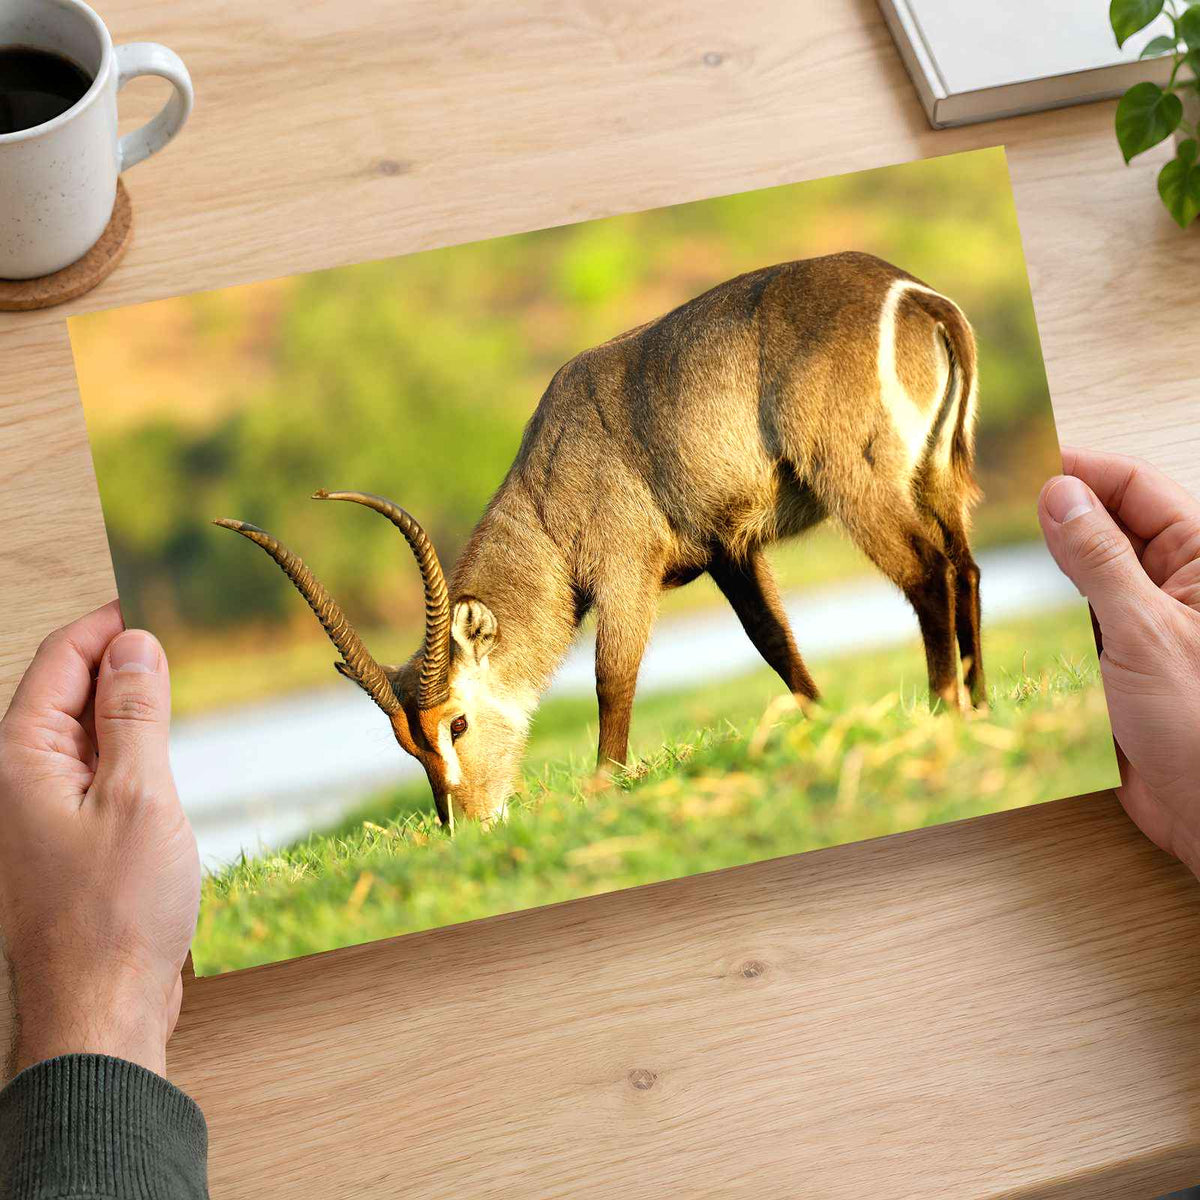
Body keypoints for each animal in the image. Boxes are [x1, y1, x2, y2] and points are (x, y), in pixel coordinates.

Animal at [215, 251, 984, 827]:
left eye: (455, 725)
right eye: (409, 744)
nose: (467, 826)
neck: (547, 489)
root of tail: (910, 294)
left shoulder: (627, 575)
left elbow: (612, 677)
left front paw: (604, 782)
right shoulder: (731, 552)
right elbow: (774, 643)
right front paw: (821, 723)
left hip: (860, 484)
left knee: (923, 572)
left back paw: (944, 704)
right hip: (937, 477)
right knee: (965, 567)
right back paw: (981, 702)